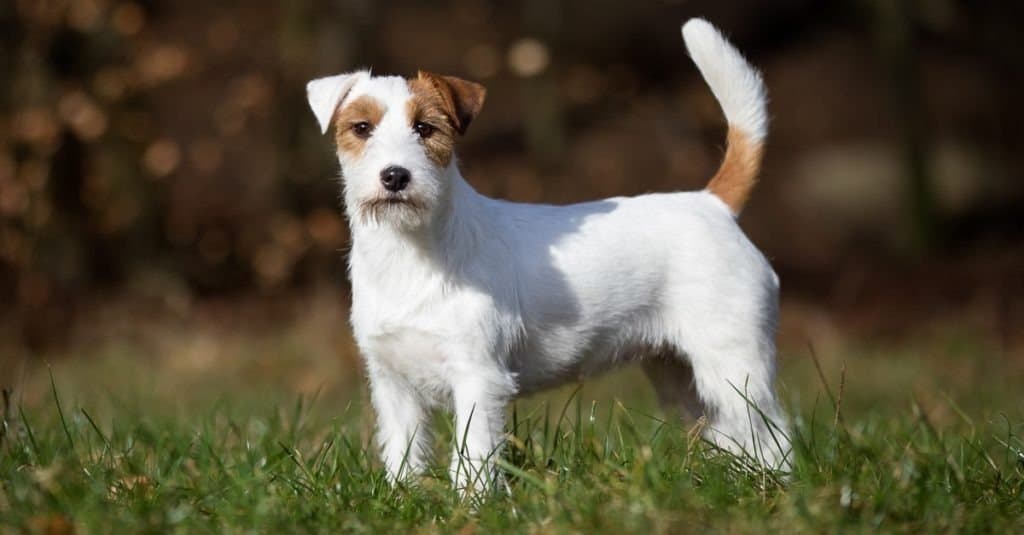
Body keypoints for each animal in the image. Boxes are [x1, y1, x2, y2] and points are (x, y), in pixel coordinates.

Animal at [307, 18, 786, 489]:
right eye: (361, 128)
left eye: (425, 128)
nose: (395, 176)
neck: (411, 253)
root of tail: (713, 204)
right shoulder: (393, 384)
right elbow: (404, 454)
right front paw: (403, 495)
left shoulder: (478, 377)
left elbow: (473, 453)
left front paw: (471, 502)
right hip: (681, 374)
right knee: (731, 434)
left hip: (733, 362)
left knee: (774, 434)